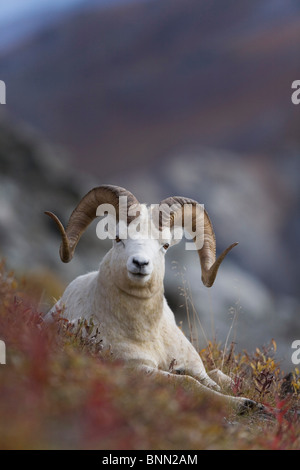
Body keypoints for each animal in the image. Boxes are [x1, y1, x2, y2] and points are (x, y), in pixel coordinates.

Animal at [45, 184, 262, 412]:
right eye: (118, 238)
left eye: (165, 245)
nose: (140, 263)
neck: (148, 334)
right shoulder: (141, 368)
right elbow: (190, 382)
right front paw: (245, 404)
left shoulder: (194, 365)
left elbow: (217, 378)